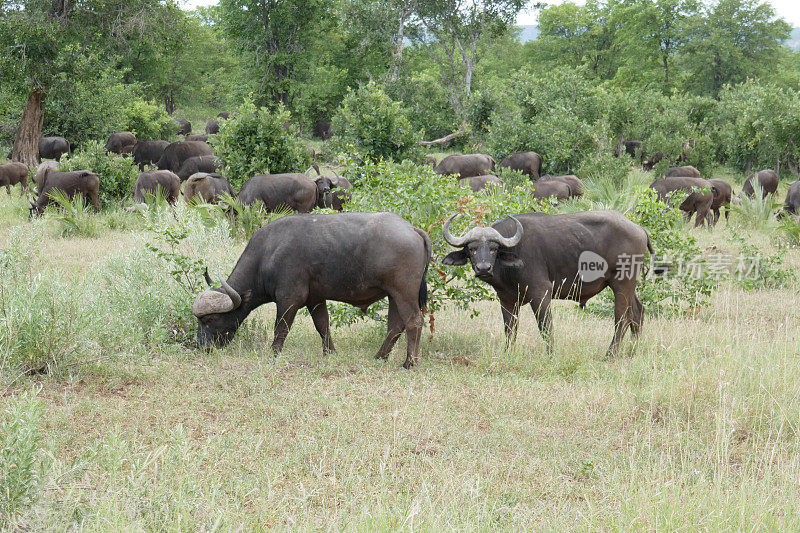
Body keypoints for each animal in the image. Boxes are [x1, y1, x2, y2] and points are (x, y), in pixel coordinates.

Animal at [194, 210, 432, 368]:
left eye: (210, 319)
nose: (202, 347)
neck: (267, 254)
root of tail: (412, 228)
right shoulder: (316, 299)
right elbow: (322, 326)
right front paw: (330, 353)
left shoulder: (289, 299)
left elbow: (281, 328)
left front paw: (273, 354)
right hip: (393, 295)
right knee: (395, 325)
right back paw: (380, 357)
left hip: (404, 292)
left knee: (414, 321)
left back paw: (409, 362)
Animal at [440, 210, 652, 356]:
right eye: (472, 248)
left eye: (493, 248)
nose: (483, 268)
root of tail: (638, 228)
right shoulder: (507, 299)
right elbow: (510, 329)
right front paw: (508, 353)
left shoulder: (541, 293)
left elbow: (545, 327)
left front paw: (550, 355)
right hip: (628, 286)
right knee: (637, 313)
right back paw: (633, 351)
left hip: (622, 284)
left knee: (622, 318)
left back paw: (610, 355)